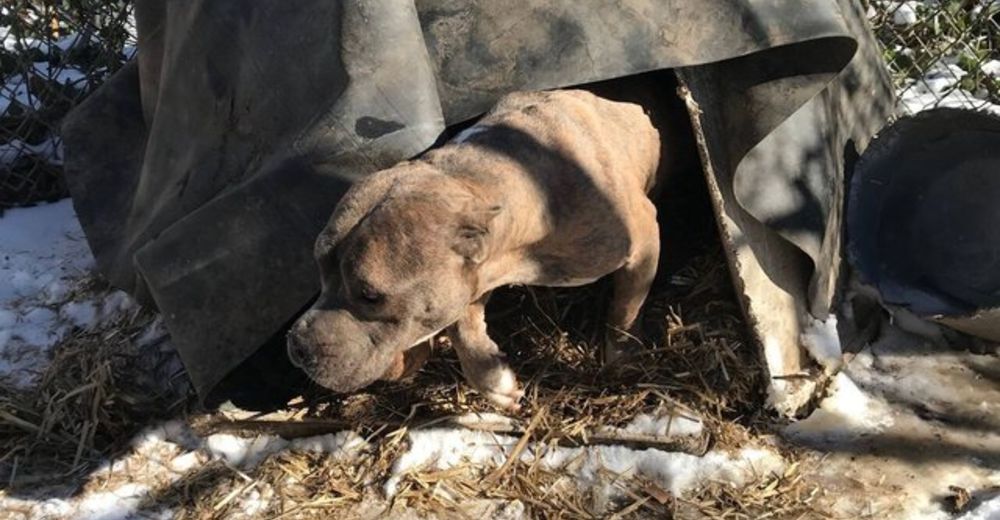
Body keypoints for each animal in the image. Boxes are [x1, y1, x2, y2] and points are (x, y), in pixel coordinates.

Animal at [290, 87, 680, 408]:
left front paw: (623, 356)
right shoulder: (472, 276)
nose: (298, 344)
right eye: (318, 266)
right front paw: (494, 381)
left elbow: (625, 308)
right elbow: (462, 327)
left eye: (370, 295)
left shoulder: (643, 240)